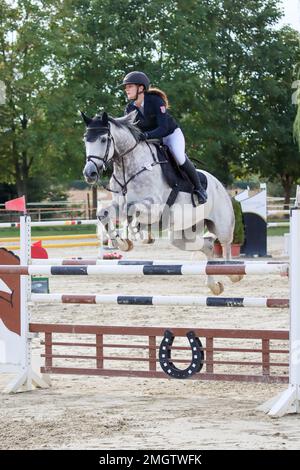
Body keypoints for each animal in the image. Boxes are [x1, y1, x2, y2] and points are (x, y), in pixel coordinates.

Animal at [82, 111, 241, 294]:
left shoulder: (154, 206)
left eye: (103, 139)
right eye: (85, 140)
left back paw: (234, 274)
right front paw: (121, 243)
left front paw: (138, 236)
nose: (89, 173)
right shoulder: (118, 204)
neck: (130, 167)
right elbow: (104, 214)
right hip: (182, 234)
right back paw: (214, 286)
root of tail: (219, 185)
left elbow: (133, 209)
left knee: (226, 245)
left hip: (222, 225)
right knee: (207, 246)